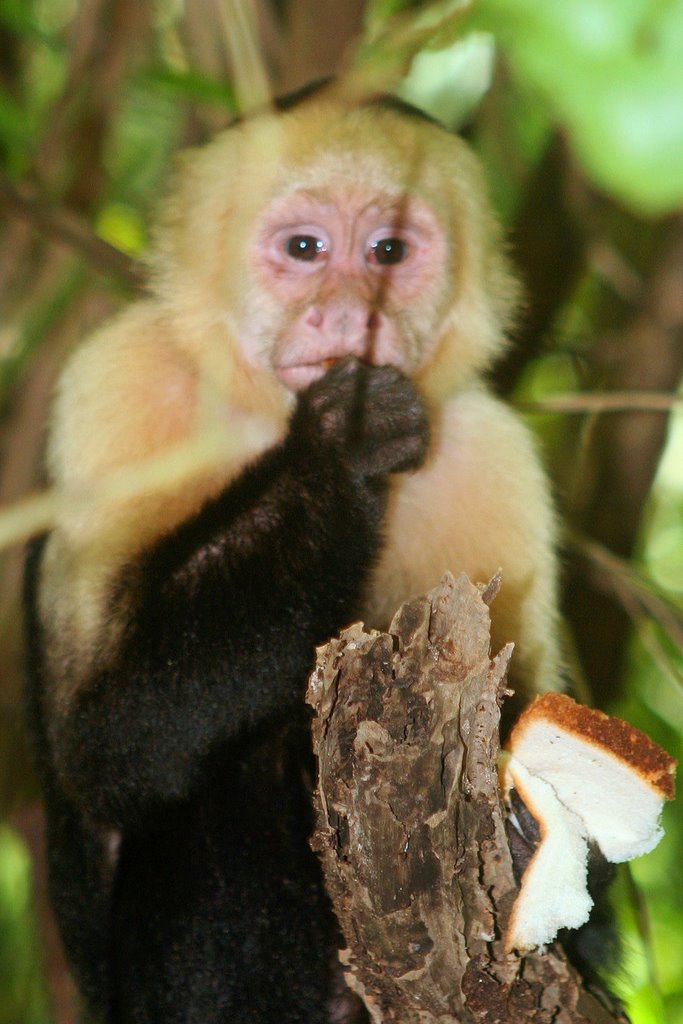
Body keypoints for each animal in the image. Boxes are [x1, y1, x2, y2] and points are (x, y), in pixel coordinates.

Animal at [24, 88, 565, 1024]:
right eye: (304, 249)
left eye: (389, 251)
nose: (351, 315)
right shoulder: (115, 384)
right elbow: (105, 737)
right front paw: (342, 447)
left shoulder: (493, 454)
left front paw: (526, 816)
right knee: (234, 757)